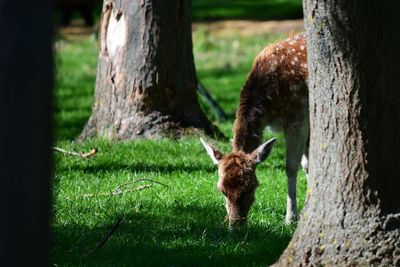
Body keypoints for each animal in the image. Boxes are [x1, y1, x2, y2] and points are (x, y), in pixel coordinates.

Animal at [200, 33, 310, 226]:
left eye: (251, 187)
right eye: (221, 189)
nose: (235, 223)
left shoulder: (299, 118)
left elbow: (292, 166)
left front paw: (291, 218)